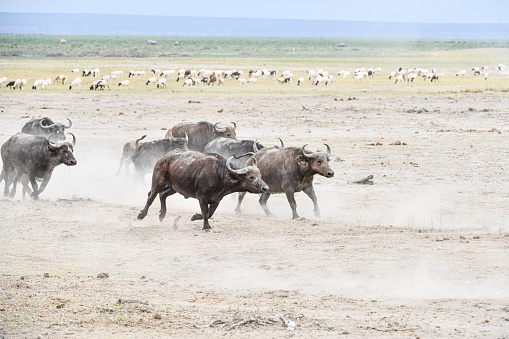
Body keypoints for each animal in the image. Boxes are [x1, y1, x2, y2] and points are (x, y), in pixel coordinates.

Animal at [135, 151, 270, 232]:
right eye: (251, 177)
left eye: (260, 175)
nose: (265, 188)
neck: (220, 175)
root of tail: (164, 157)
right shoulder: (202, 198)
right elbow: (205, 213)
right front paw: (207, 227)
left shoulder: (216, 200)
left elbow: (210, 213)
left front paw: (195, 217)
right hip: (158, 182)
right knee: (151, 196)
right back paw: (141, 215)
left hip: (174, 187)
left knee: (162, 194)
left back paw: (162, 215)